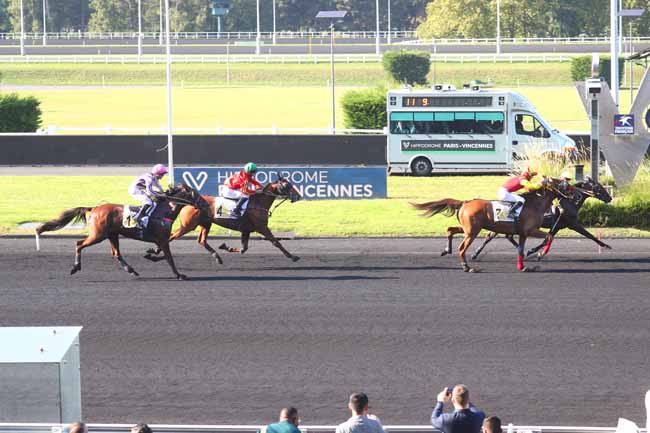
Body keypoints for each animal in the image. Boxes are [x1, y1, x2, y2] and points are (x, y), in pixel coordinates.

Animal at [36, 183, 208, 280]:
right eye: (193, 193)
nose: (205, 204)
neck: (163, 211)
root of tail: (95, 208)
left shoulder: (162, 240)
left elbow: (160, 254)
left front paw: (150, 254)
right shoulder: (163, 240)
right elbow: (169, 258)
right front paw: (179, 275)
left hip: (112, 235)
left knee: (116, 253)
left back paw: (131, 270)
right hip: (98, 235)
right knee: (79, 244)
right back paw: (75, 267)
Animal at [144, 176, 302, 264]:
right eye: (287, 185)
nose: (298, 196)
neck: (257, 202)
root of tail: (188, 202)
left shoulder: (246, 230)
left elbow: (244, 249)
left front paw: (225, 246)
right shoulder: (261, 227)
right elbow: (276, 242)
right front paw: (293, 257)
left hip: (205, 224)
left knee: (201, 240)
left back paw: (217, 257)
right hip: (188, 225)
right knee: (171, 236)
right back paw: (154, 253)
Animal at [412, 178, 560, 272]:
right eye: (561, 182)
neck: (534, 204)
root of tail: (465, 202)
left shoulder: (522, 233)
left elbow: (520, 248)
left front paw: (525, 263)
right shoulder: (529, 230)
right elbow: (549, 237)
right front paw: (537, 253)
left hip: (468, 229)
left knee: (450, 230)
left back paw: (447, 250)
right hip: (472, 232)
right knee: (461, 248)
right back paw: (467, 267)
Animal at [468, 176, 612, 260]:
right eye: (597, 187)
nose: (609, 197)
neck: (569, 203)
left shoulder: (558, 226)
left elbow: (548, 239)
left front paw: (534, 252)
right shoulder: (572, 224)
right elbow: (589, 235)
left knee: (501, 236)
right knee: (491, 237)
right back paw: (475, 253)